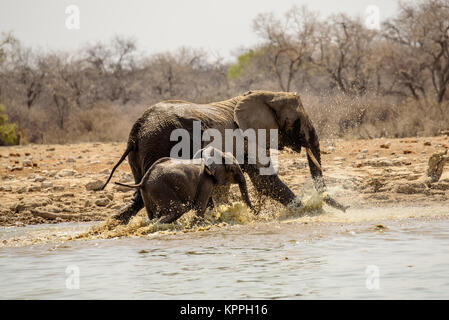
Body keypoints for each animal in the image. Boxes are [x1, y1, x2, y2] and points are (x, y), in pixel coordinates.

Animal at [115, 147, 254, 222]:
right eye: (232, 169)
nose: (255, 213)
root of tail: (143, 181)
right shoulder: (206, 181)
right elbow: (200, 206)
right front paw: (197, 224)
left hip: (147, 192)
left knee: (153, 214)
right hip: (161, 188)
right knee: (178, 210)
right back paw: (160, 223)